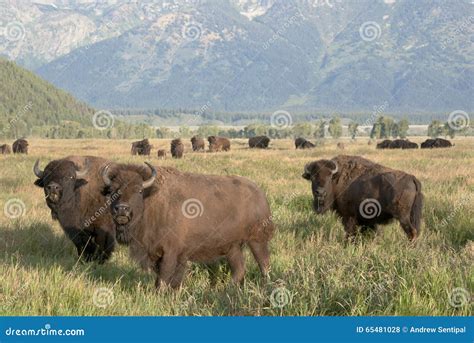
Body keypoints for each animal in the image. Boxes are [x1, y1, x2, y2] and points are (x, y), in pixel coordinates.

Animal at [102, 163, 276, 288]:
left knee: (264, 264)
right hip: (232, 247)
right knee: (239, 269)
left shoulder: (170, 253)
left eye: (138, 190)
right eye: (112, 191)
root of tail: (259, 193)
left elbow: (164, 279)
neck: (151, 199)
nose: (122, 209)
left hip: (257, 241)